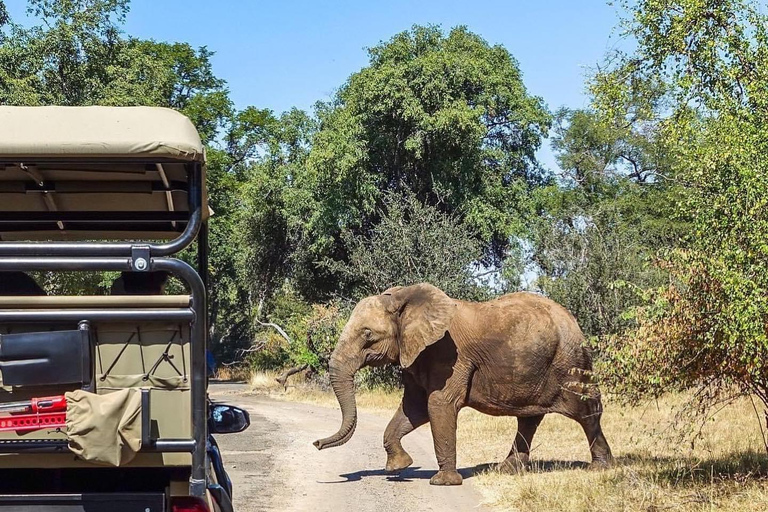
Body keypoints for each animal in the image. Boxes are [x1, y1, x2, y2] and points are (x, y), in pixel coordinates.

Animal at [312, 282, 612, 486]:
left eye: (367, 335)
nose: (315, 443)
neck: (404, 298)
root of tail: (573, 320)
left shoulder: (449, 354)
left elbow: (438, 404)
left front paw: (442, 482)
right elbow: (413, 408)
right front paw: (399, 467)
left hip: (571, 360)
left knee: (586, 410)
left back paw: (601, 468)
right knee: (529, 418)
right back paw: (506, 470)